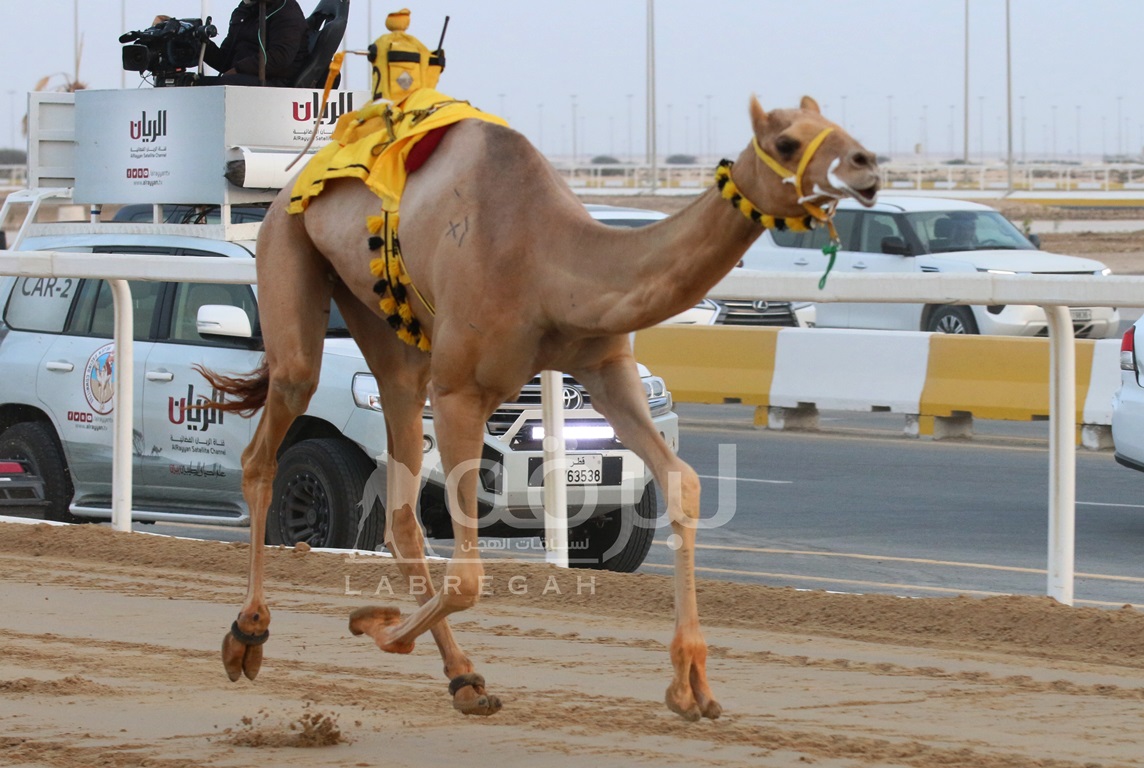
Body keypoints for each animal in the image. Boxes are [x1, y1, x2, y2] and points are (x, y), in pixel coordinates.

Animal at [205, 96, 878, 723]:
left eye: (841, 128)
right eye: (786, 142)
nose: (867, 168)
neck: (548, 261)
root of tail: (290, 187)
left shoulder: (607, 369)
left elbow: (681, 481)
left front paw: (692, 685)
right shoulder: (461, 391)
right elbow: (468, 575)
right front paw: (375, 625)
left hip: (386, 330)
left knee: (399, 502)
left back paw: (465, 680)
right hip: (290, 258)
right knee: (270, 439)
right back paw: (247, 634)